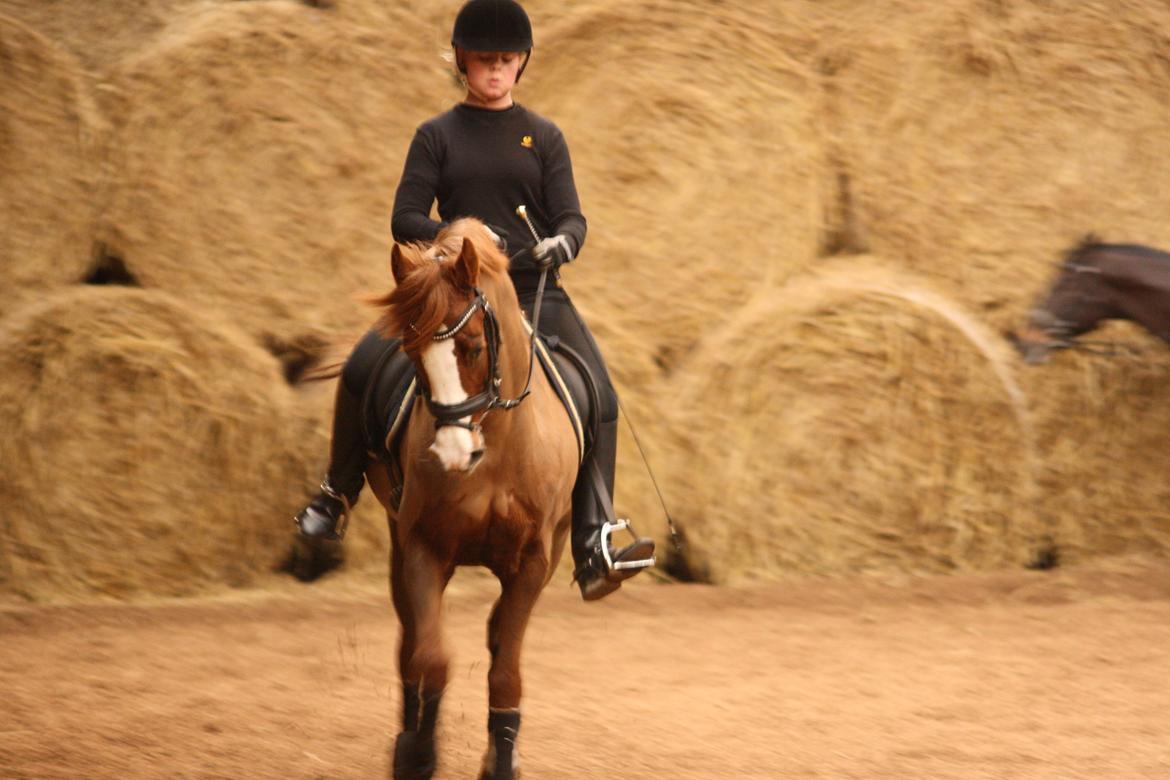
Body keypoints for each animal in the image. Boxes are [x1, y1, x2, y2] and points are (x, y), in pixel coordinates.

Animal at [363, 218, 579, 780]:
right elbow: (431, 658)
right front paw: (418, 753)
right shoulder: (423, 548)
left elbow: (505, 669)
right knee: (410, 642)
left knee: (499, 636)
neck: (498, 451)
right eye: (411, 354)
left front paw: (502, 760)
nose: (452, 454)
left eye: (476, 347)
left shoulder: (533, 561)